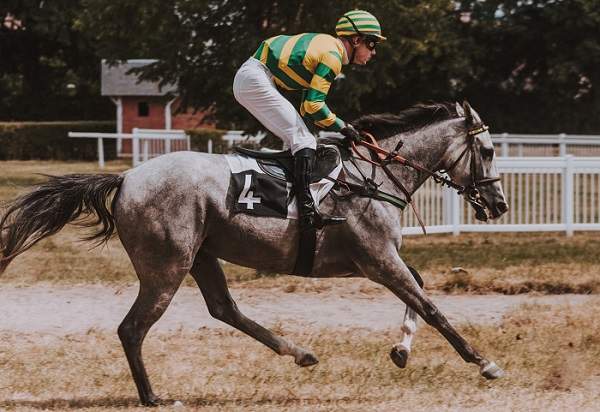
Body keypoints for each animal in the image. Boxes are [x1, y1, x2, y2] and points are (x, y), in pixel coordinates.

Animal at [0, 100, 508, 406]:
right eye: (487, 150)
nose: (500, 204)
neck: (375, 177)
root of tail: (126, 178)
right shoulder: (377, 260)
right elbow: (432, 306)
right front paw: (484, 362)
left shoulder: (378, 260)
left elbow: (419, 291)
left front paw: (401, 350)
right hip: (167, 267)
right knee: (133, 328)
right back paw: (153, 397)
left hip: (201, 256)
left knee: (224, 309)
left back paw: (299, 353)